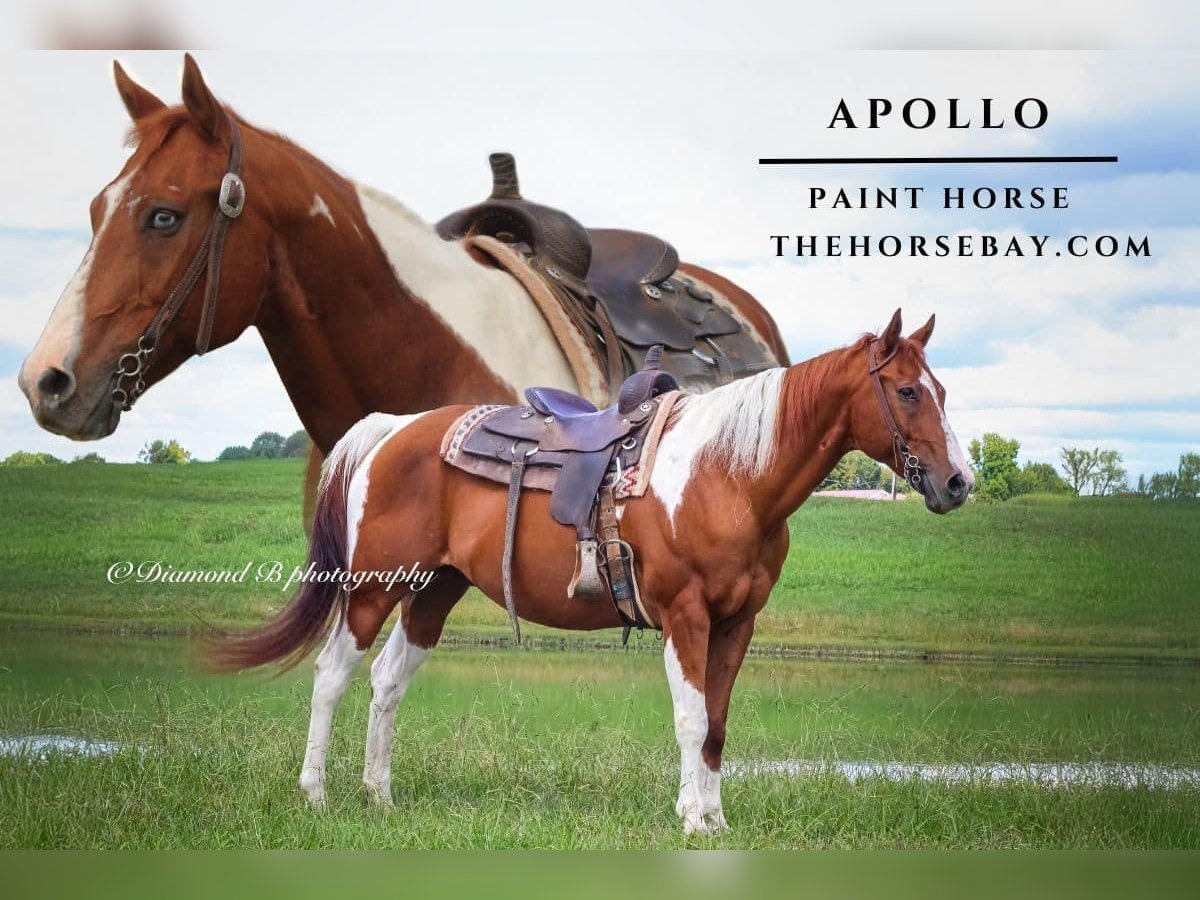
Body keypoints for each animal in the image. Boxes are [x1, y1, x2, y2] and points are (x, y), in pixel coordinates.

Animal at [215, 309, 973, 835]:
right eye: (907, 392)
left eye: (941, 389)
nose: (959, 483)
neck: (730, 474)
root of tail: (389, 429)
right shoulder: (686, 617)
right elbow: (691, 719)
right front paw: (692, 820)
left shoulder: (738, 624)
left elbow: (718, 723)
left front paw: (717, 818)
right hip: (375, 588)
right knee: (333, 675)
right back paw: (316, 794)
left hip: (434, 592)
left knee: (388, 682)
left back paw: (380, 796)